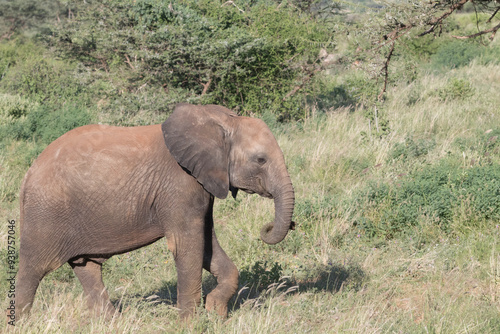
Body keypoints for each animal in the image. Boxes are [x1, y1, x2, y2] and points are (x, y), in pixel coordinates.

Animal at [13, 103, 294, 322]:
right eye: (261, 160)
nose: (268, 227)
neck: (222, 121)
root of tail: (27, 174)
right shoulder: (180, 184)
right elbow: (188, 246)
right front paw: (190, 324)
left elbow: (206, 244)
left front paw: (216, 313)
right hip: (45, 212)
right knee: (32, 269)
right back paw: (23, 324)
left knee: (87, 267)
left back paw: (111, 323)